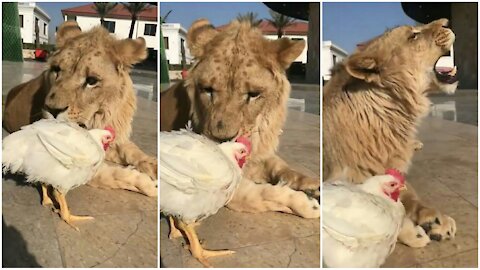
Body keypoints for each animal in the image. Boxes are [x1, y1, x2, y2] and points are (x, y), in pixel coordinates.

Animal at [3, 21, 158, 197]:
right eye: (56, 70)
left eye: (91, 81)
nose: (52, 109)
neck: (100, 114)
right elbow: (113, 175)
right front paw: (147, 184)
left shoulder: (114, 136)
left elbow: (132, 151)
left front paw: (154, 166)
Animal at [159, 18, 320, 217]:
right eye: (207, 90)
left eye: (253, 94)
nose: (222, 141)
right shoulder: (232, 188)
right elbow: (263, 194)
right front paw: (307, 203)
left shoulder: (259, 154)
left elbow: (280, 166)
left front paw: (311, 184)